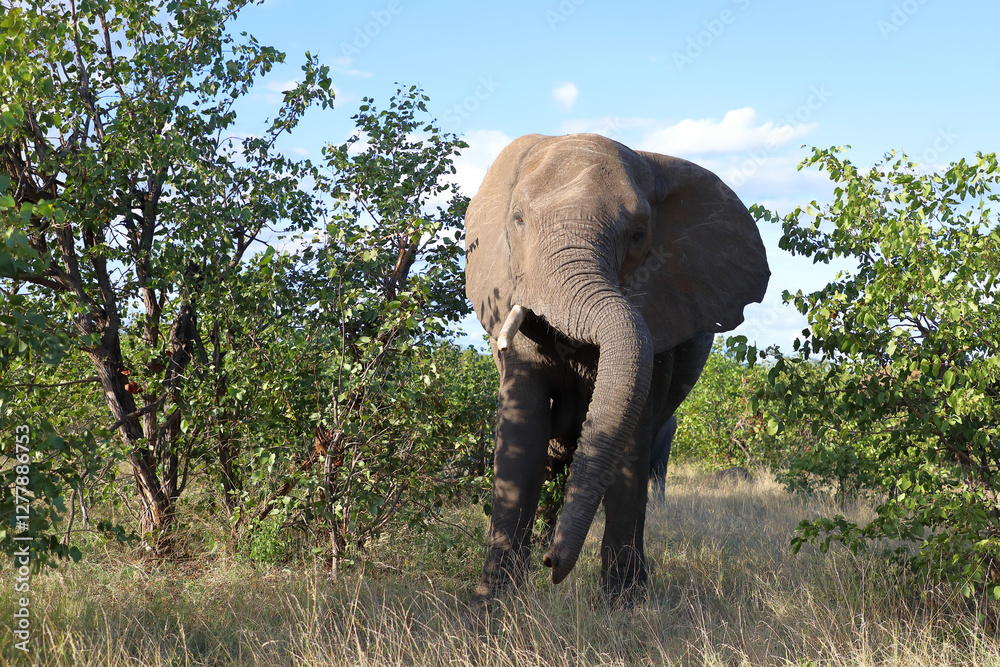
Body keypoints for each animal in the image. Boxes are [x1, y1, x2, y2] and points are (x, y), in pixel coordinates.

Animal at [464, 133, 769, 603]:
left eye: (639, 235)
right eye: (517, 220)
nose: (553, 564)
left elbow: (632, 441)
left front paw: (623, 605)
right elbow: (522, 432)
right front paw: (492, 606)